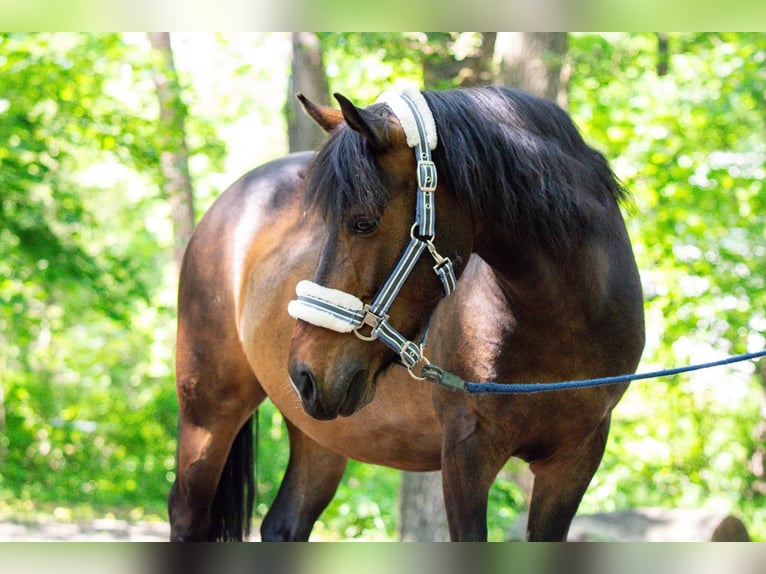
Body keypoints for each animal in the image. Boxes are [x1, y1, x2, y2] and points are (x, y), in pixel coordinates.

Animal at [167, 86, 645, 542]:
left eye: (362, 222)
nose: (304, 372)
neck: (560, 325)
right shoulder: (466, 453)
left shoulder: (575, 458)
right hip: (208, 411)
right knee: (188, 513)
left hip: (321, 434)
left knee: (283, 524)